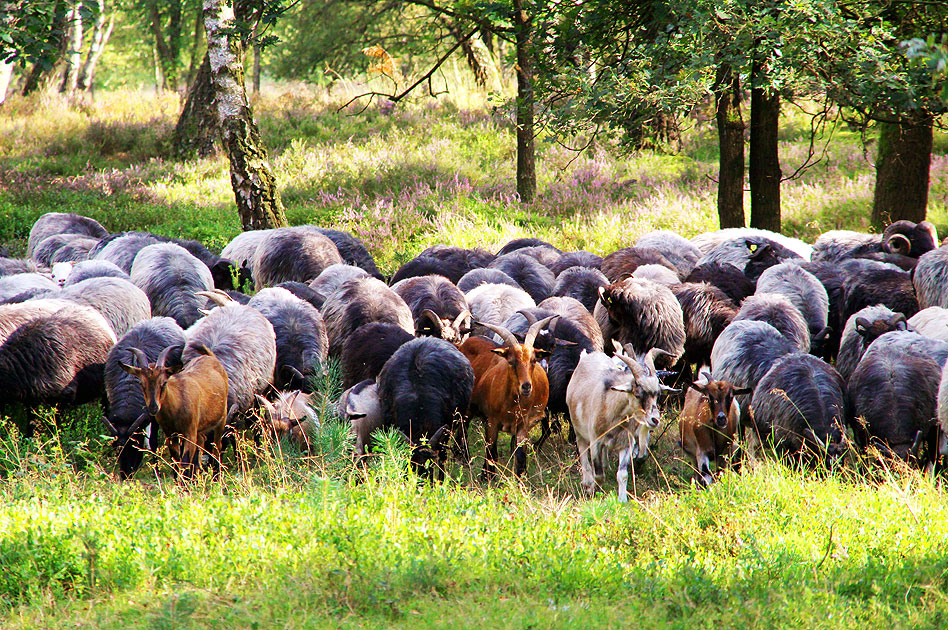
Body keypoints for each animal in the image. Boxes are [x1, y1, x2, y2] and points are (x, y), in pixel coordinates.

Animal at [120, 344, 230, 482]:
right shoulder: (170, 434)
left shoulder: (189, 432)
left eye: (164, 382)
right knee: (202, 441)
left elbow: (184, 462)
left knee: (217, 446)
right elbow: (176, 462)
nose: (153, 407)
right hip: (200, 428)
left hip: (221, 419)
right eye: (141, 383)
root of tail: (210, 357)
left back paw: (216, 478)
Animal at [464, 316, 560, 478]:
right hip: (468, 408)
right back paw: (464, 457)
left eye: (533, 360)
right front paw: (486, 476)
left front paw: (521, 477)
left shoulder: (523, 424)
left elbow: (520, 454)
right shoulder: (492, 421)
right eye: (512, 361)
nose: (526, 386)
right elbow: (491, 451)